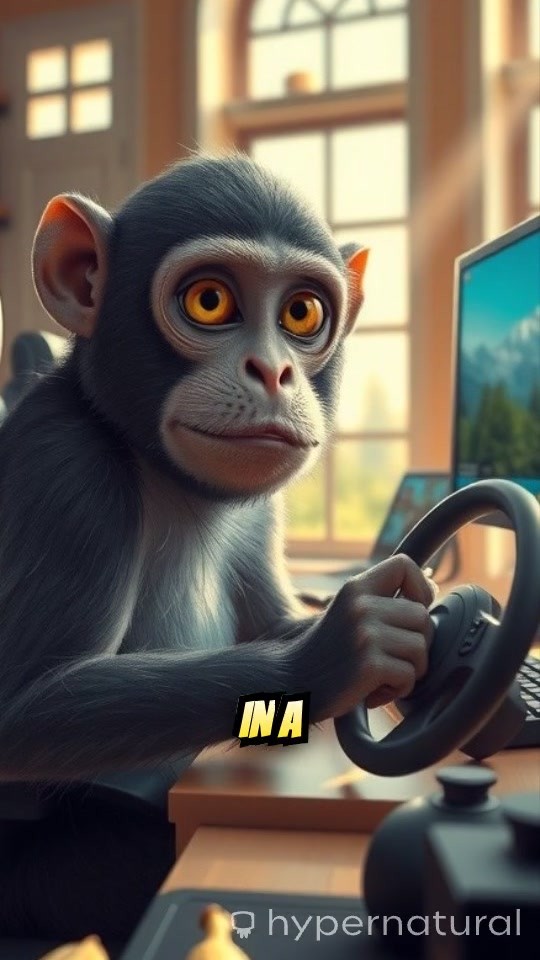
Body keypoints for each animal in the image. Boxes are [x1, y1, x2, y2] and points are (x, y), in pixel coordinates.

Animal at [0, 154, 434, 942]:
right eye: (209, 300)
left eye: (302, 314)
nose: (274, 371)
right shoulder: (66, 469)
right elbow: (23, 710)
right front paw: (342, 648)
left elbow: (273, 620)